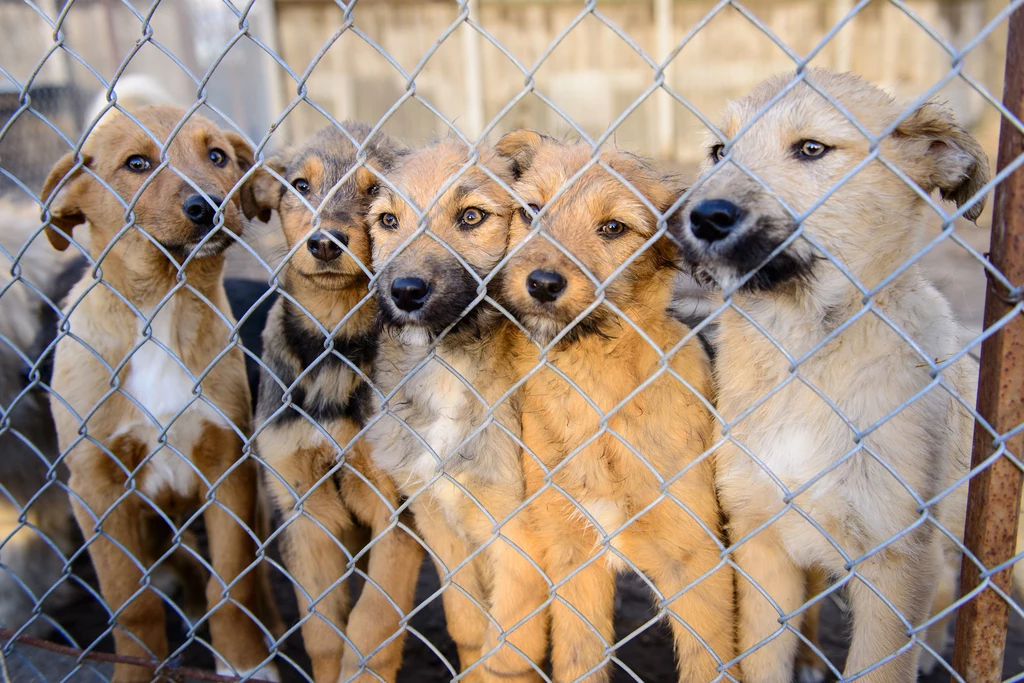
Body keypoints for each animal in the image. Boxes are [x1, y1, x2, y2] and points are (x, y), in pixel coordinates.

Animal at [42, 105, 278, 683]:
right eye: (136, 164)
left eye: (216, 156)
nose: (208, 205)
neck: (162, 307)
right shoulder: (96, 489)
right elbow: (133, 603)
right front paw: (134, 669)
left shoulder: (227, 468)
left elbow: (232, 582)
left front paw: (243, 662)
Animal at [249, 124, 421, 683]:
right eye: (300, 186)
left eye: (375, 191)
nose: (324, 242)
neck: (335, 347)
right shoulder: (304, 511)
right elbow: (323, 633)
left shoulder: (397, 513)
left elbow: (370, 628)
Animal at [364, 140, 548, 683]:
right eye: (388, 220)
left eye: (471, 216)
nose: (405, 291)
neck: (448, 364)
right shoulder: (436, 519)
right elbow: (468, 628)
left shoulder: (520, 537)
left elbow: (507, 653)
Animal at [495, 131, 737, 679]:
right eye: (531, 211)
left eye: (613, 227)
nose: (542, 283)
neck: (597, 394)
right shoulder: (572, 554)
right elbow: (578, 659)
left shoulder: (697, 566)